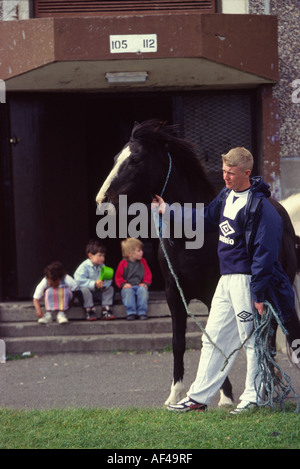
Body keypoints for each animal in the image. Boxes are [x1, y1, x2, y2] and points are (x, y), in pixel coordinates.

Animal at [96, 119, 298, 404]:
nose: (102, 201)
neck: (191, 237)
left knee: (267, 333)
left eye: (135, 159)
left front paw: (225, 396)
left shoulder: (214, 294)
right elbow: (179, 342)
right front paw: (176, 394)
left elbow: (216, 339)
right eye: (116, 158)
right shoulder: (174, 295)